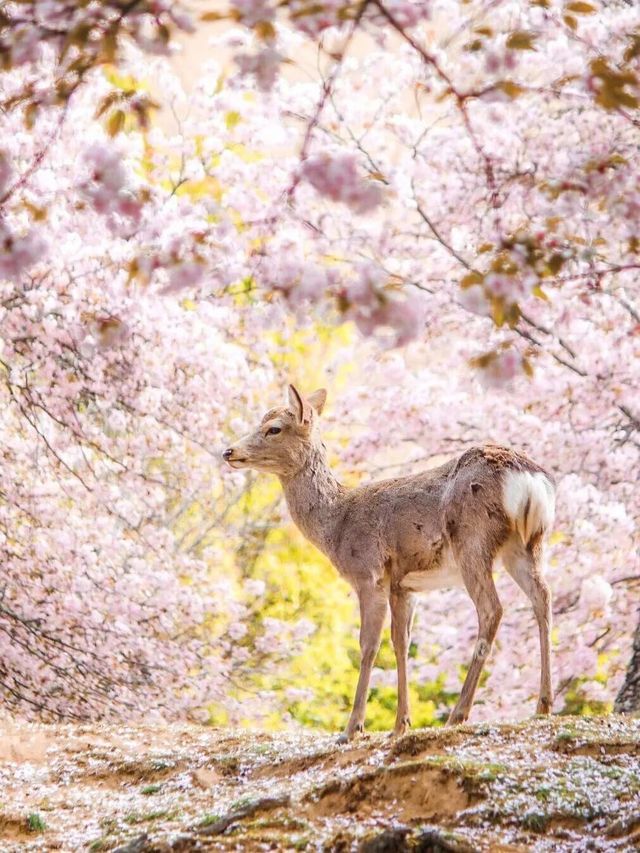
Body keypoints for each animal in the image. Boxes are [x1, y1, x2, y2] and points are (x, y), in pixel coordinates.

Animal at [224, 386, 556, 740]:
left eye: (273, 428)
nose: (228, 451)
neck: (336, 524)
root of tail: (530, 478)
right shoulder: (404, 585)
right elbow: (400, 643)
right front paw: (401, 724)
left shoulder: (369, 574)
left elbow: (368, 645)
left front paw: (353, 727)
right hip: (526, 545)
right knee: (542, 598)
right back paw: (543, 705)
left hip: (472, 539)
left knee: (492, 609)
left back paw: (458, 714)